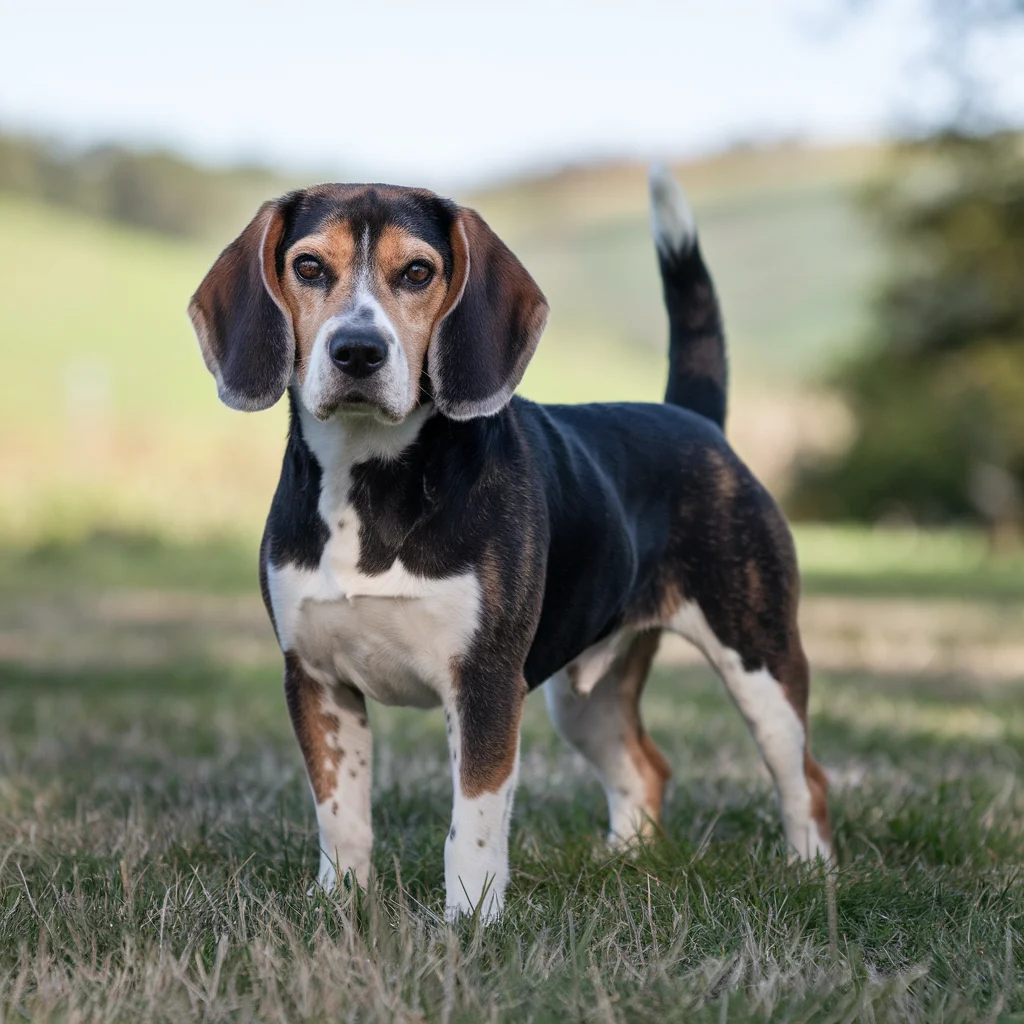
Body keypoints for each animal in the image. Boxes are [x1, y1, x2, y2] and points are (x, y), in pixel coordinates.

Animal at [190, 167, 831, 921]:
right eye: (310, 266)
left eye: (418, 271)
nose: (358, 351)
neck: (369, 479)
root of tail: (693, 419)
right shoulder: (316, 678)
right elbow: (341, 817)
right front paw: (340, 904)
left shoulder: (487, 681)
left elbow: (473, 820)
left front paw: (470, 920)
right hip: (582, 698)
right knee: (646, 768)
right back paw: (624, 859)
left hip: (760, 661)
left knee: (805, 778)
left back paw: (812, 875)